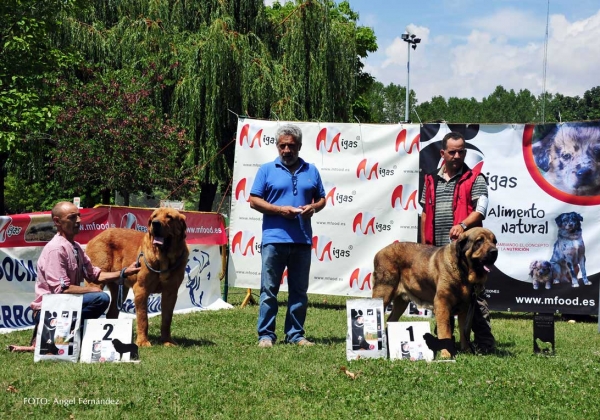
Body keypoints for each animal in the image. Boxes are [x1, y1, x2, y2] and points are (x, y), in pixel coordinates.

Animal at [85, 208, 189, 348]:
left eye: (169, 217)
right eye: (154, 216)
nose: (155, 223)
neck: (164, 258)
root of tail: (95, 237)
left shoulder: (170, 292)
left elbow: (167, 318)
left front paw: (167, 341)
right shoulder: (141, 290)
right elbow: (143, 318)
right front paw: (143, 342)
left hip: (120, 289)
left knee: (112, 312)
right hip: (96, 282)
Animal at [372, 226, 500, 358]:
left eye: (494, 241)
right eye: (479, 241)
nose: (494, 251)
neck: (463, 271)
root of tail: (379, 252)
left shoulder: (465, 308)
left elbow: (465, 331)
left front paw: (467, 350)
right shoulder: (442, 304)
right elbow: (445, 329)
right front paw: (447, 354)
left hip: (401, 302)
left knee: (391, 319)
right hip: (384, 293)